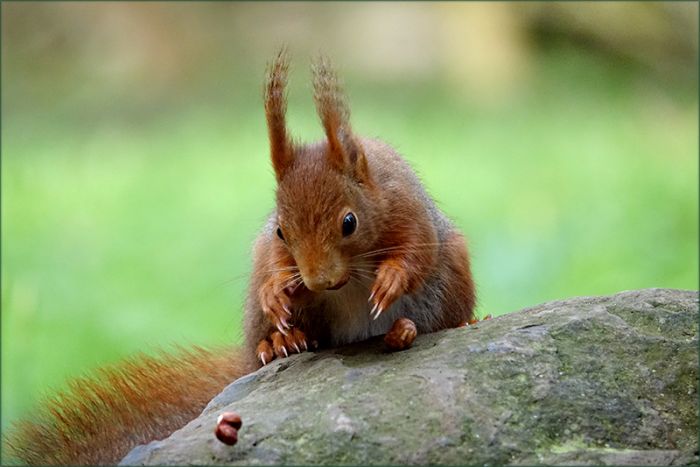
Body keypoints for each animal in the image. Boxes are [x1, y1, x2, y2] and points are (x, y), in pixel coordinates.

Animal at [3, 49, 476, 465]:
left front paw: (390, 280)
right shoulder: (273, 248)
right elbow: (275, 268)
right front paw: (276, 293)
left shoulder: (409, 210)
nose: (319, 281)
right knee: (273, 338)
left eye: (349, 222)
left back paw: (408, 329)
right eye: (281, 230)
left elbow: (415, 251)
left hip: (453, 276)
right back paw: (281, 343)